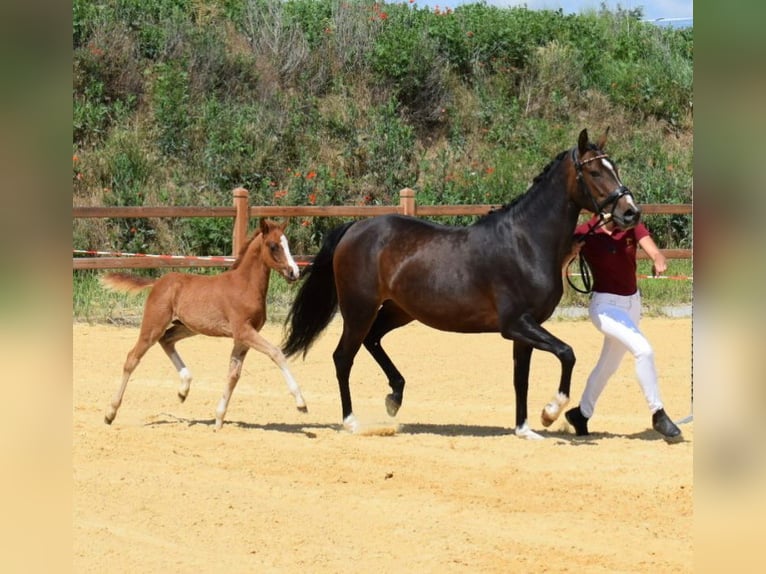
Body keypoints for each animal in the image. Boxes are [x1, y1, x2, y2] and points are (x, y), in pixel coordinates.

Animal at [103, 218, 308, 430]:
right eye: (273, 245)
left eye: (287, 244)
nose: (295, 272)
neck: (245, 286)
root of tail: (157, 283)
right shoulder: (243, 331)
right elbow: (276, 353)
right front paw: (301, 403)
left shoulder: (242, 338)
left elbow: (233, 375)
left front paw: (218, 420)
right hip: (154, 324)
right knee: (132, 358)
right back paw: (110, 413)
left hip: (186, 327)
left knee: (167, 340)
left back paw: (184, 389)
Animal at [284, 128, 640, 438]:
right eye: (594, 172)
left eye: (614, 167)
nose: (630, 212)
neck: (526, 242)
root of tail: (355, 228)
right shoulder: (515, 324)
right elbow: (567, 353)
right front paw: (550, 413)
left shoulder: (526, 328)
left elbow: (521, 379)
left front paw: (524, 429)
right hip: (359, 309)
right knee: (343, 357)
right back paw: (352, 421)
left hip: (399, 310)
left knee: (372, 341)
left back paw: (394, 398)